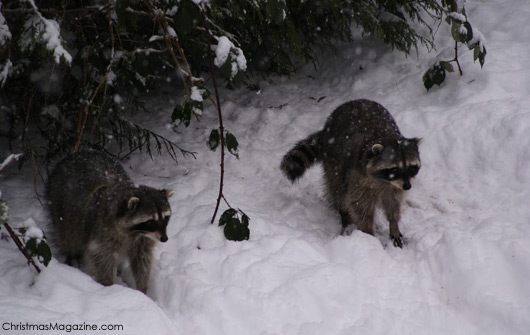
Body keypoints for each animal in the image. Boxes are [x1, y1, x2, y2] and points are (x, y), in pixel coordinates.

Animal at [46, 151, 172, 292]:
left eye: (165, 218)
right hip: (59, 206)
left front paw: (142, 288)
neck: (135, 232)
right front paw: (108, 285)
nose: (164, 239)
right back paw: (71, 256)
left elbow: (142, 260)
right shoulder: (103, 232)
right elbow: (101, 257)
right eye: (150, 221)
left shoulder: (144, 239)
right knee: (68, 237)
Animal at [280, 98, 420, 248]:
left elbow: (393, 203)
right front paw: (368, 235)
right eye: (394, 169)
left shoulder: (394, 186)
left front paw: (393, 224)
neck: (384, 180)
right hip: (333, 165)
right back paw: (345, 216)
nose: (408, 186)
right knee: (338, 193)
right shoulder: (359, 180)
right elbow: (358, 206)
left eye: (412, 167)